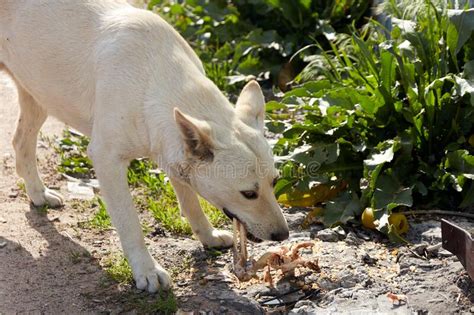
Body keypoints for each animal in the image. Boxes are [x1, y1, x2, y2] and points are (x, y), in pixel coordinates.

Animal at [0, 0, 288, 294]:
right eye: (248, 194)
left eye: (274, 183)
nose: (283, 235)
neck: (155, 80)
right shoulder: (107, 160)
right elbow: (131, 225)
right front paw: (146, 271)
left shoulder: (173, 150)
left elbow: (191, 204)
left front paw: (207, 236)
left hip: (37, 95)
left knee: (20, 142)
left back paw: (38, 194)